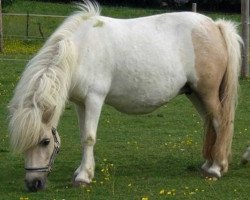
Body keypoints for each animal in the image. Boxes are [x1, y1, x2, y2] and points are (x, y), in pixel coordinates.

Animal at [8, 0, 242, 192]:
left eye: (45, 141)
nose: (33, 184)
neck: (80, 50)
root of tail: (214, 26)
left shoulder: (94, 99)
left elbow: (89, 137)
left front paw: (84, 177)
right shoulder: (80, 103)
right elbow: (83, 135)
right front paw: (81, 171)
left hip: (207, 93)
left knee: (220, 123)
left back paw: (216, 168)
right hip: (195, 94)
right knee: (210, 125)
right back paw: (208, 164)